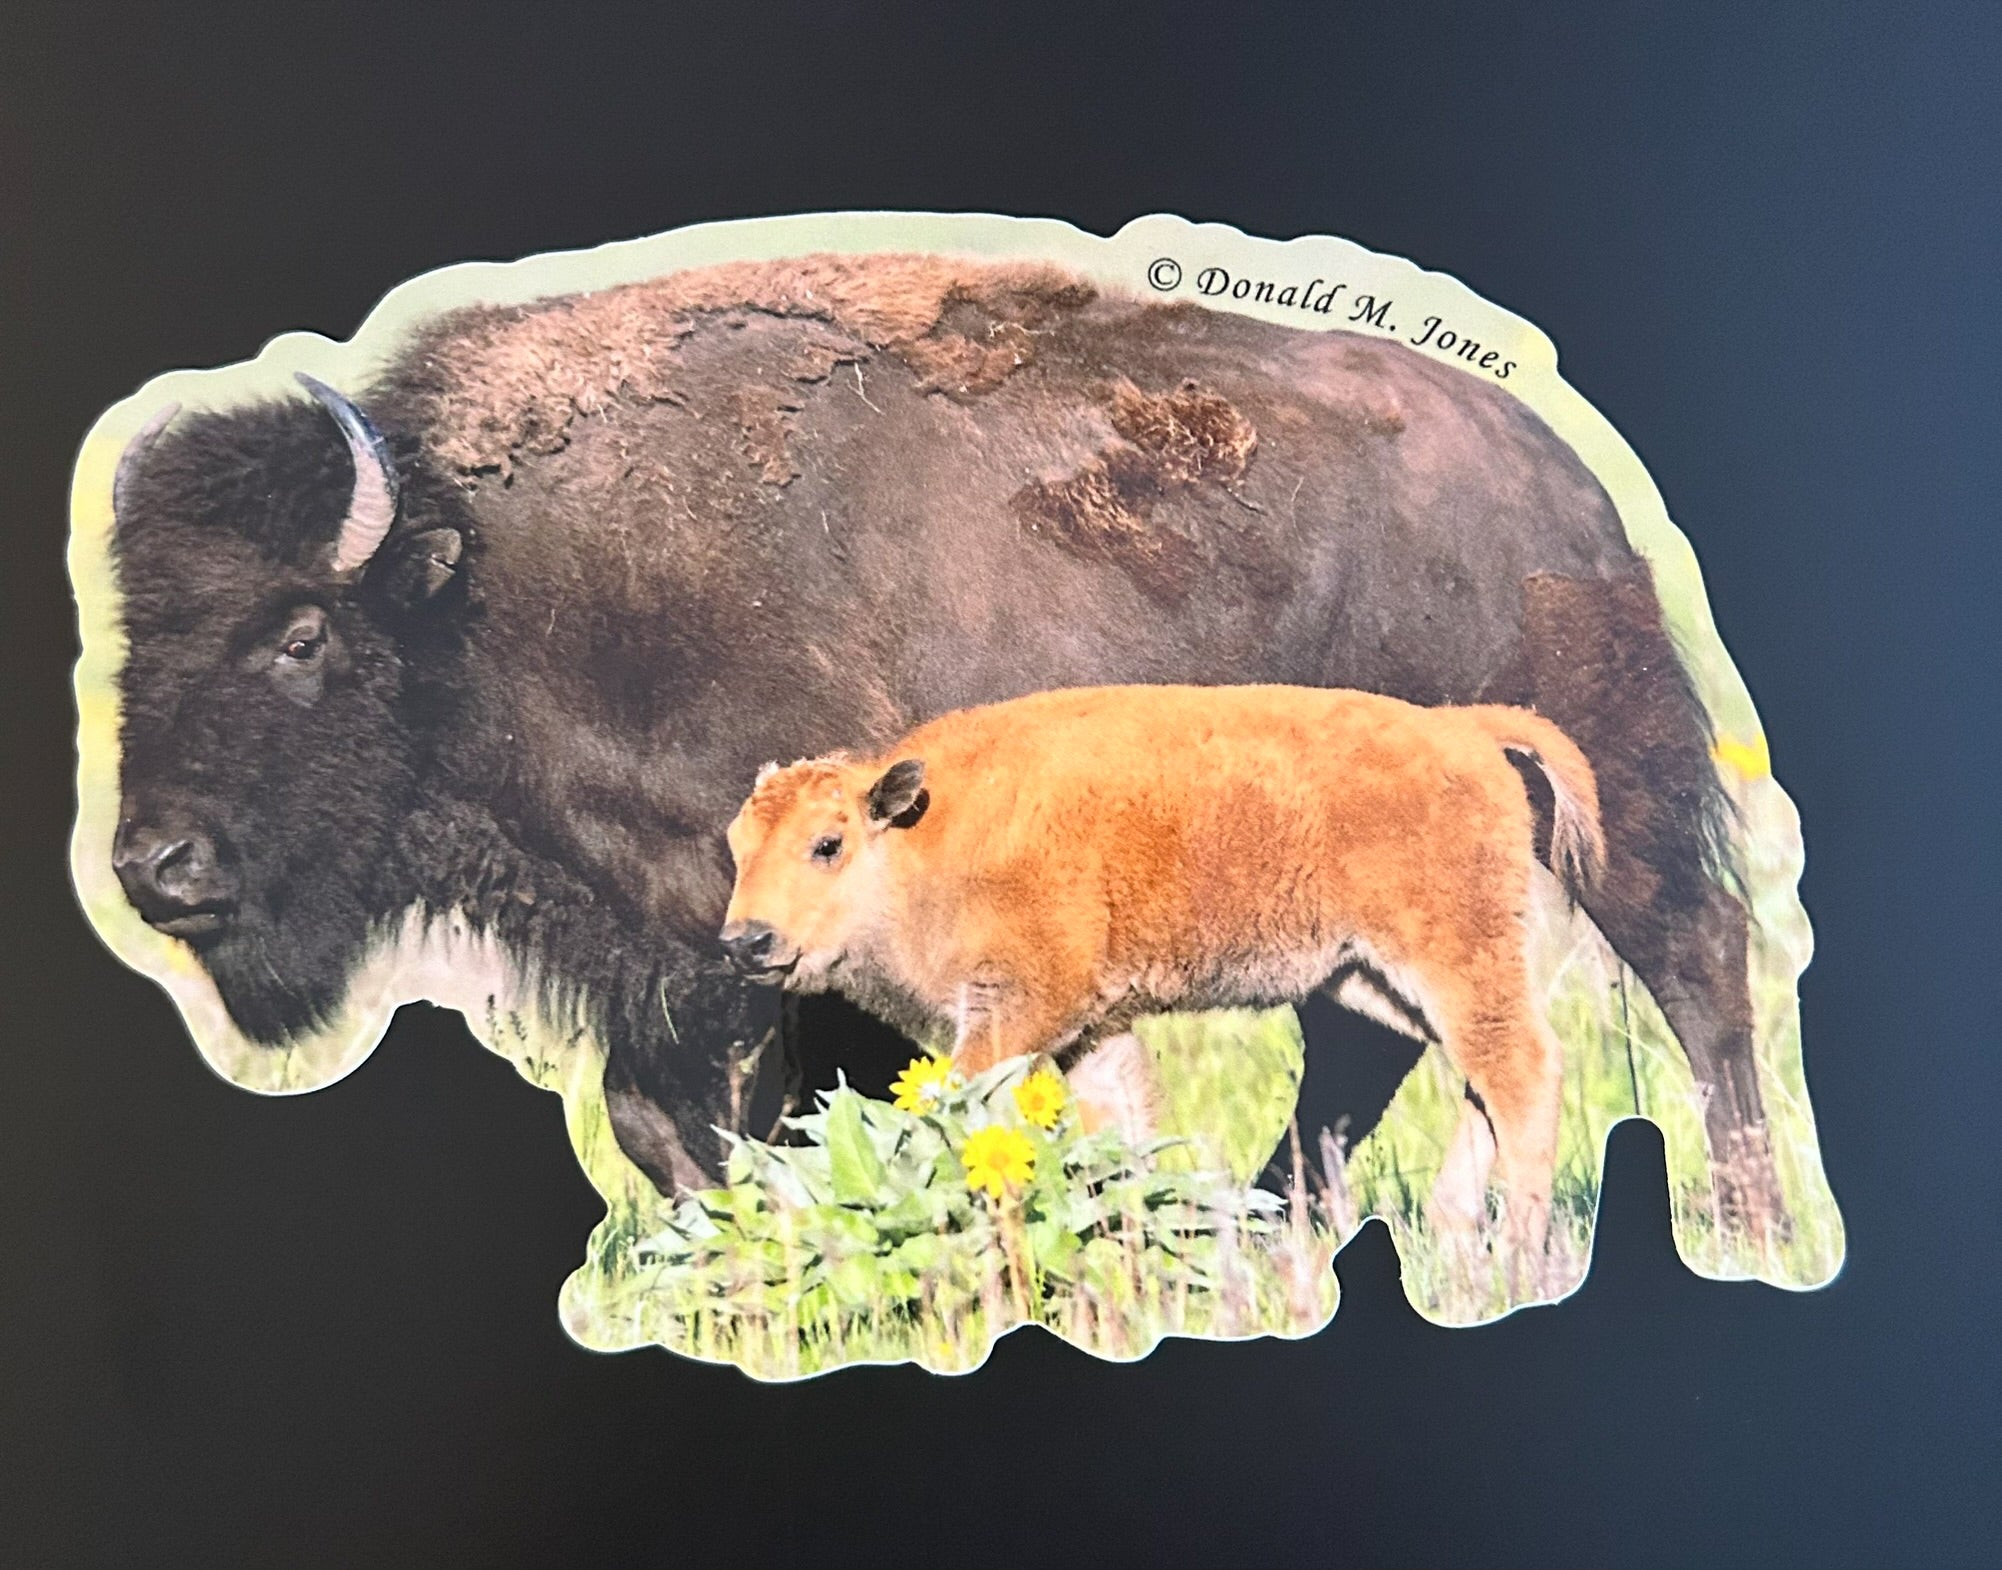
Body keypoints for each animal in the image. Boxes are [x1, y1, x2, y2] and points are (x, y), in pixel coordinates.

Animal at [719, 683, 1606, 1256]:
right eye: (736, 847)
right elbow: (1123, 1132)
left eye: (826, 844)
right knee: (1483, 1076)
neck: (923, 837)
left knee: (1522, 1068)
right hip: (1375, 979)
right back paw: (1459, 1233)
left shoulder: (1013, 1015)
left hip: (1451, 958)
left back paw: (1518, 1250)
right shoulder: (1094, 1030)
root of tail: (1464, 732)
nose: (746, 941)